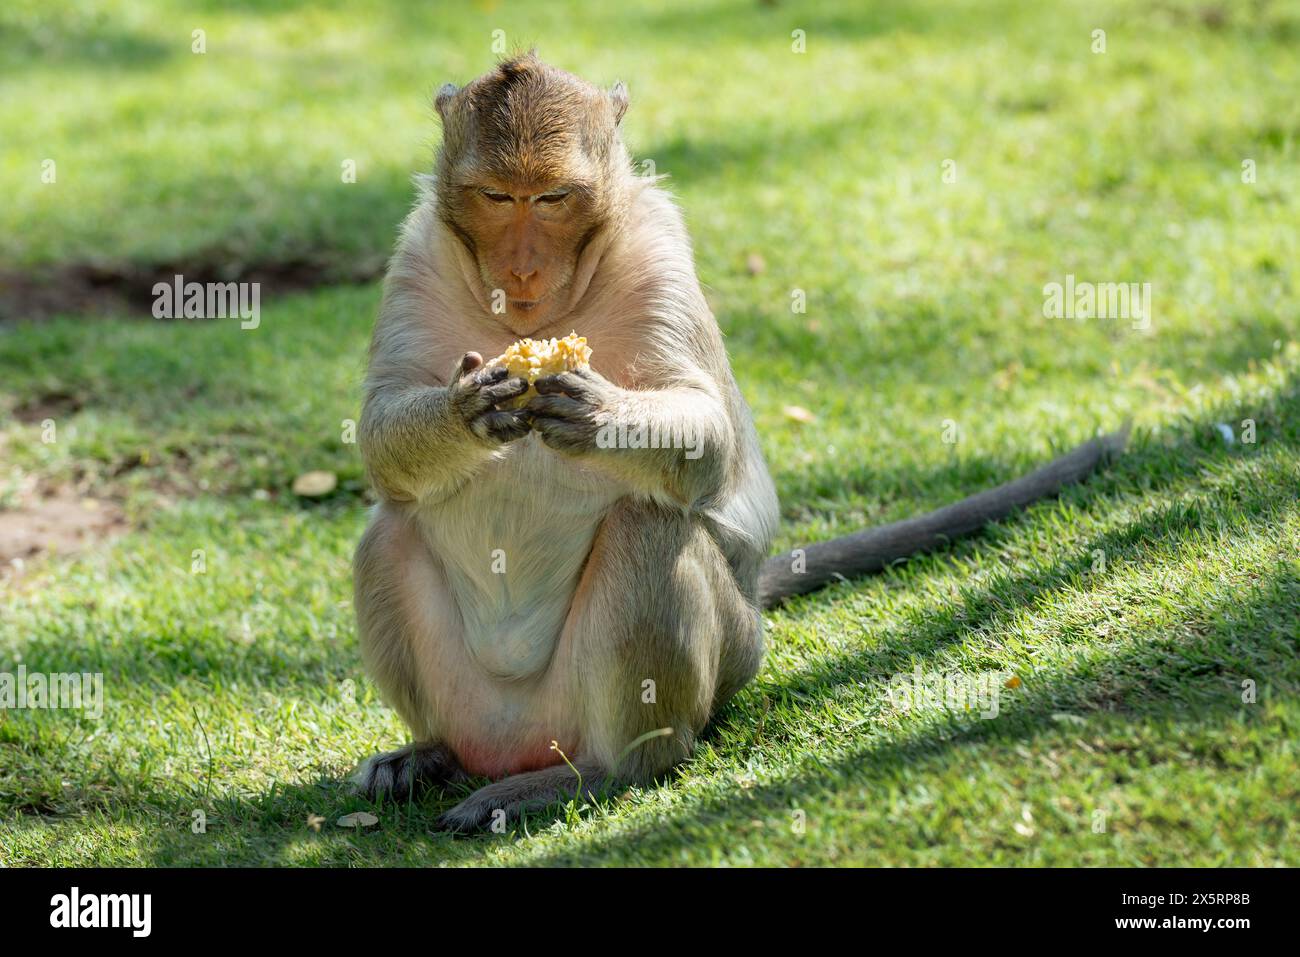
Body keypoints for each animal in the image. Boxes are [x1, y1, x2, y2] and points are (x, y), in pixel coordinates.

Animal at [351, 54, 1123, 832]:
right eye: (495, 195)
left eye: (551, 197)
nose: (522, 270)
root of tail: (517, 743)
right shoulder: (416, 254)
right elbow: (380, 431)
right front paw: (470, 409)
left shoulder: (658, 243)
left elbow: (710, 437)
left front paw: (598, 414)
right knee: (389, 532)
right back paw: (430, 754)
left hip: (728, 657)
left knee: (649, 526)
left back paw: (602, 773)